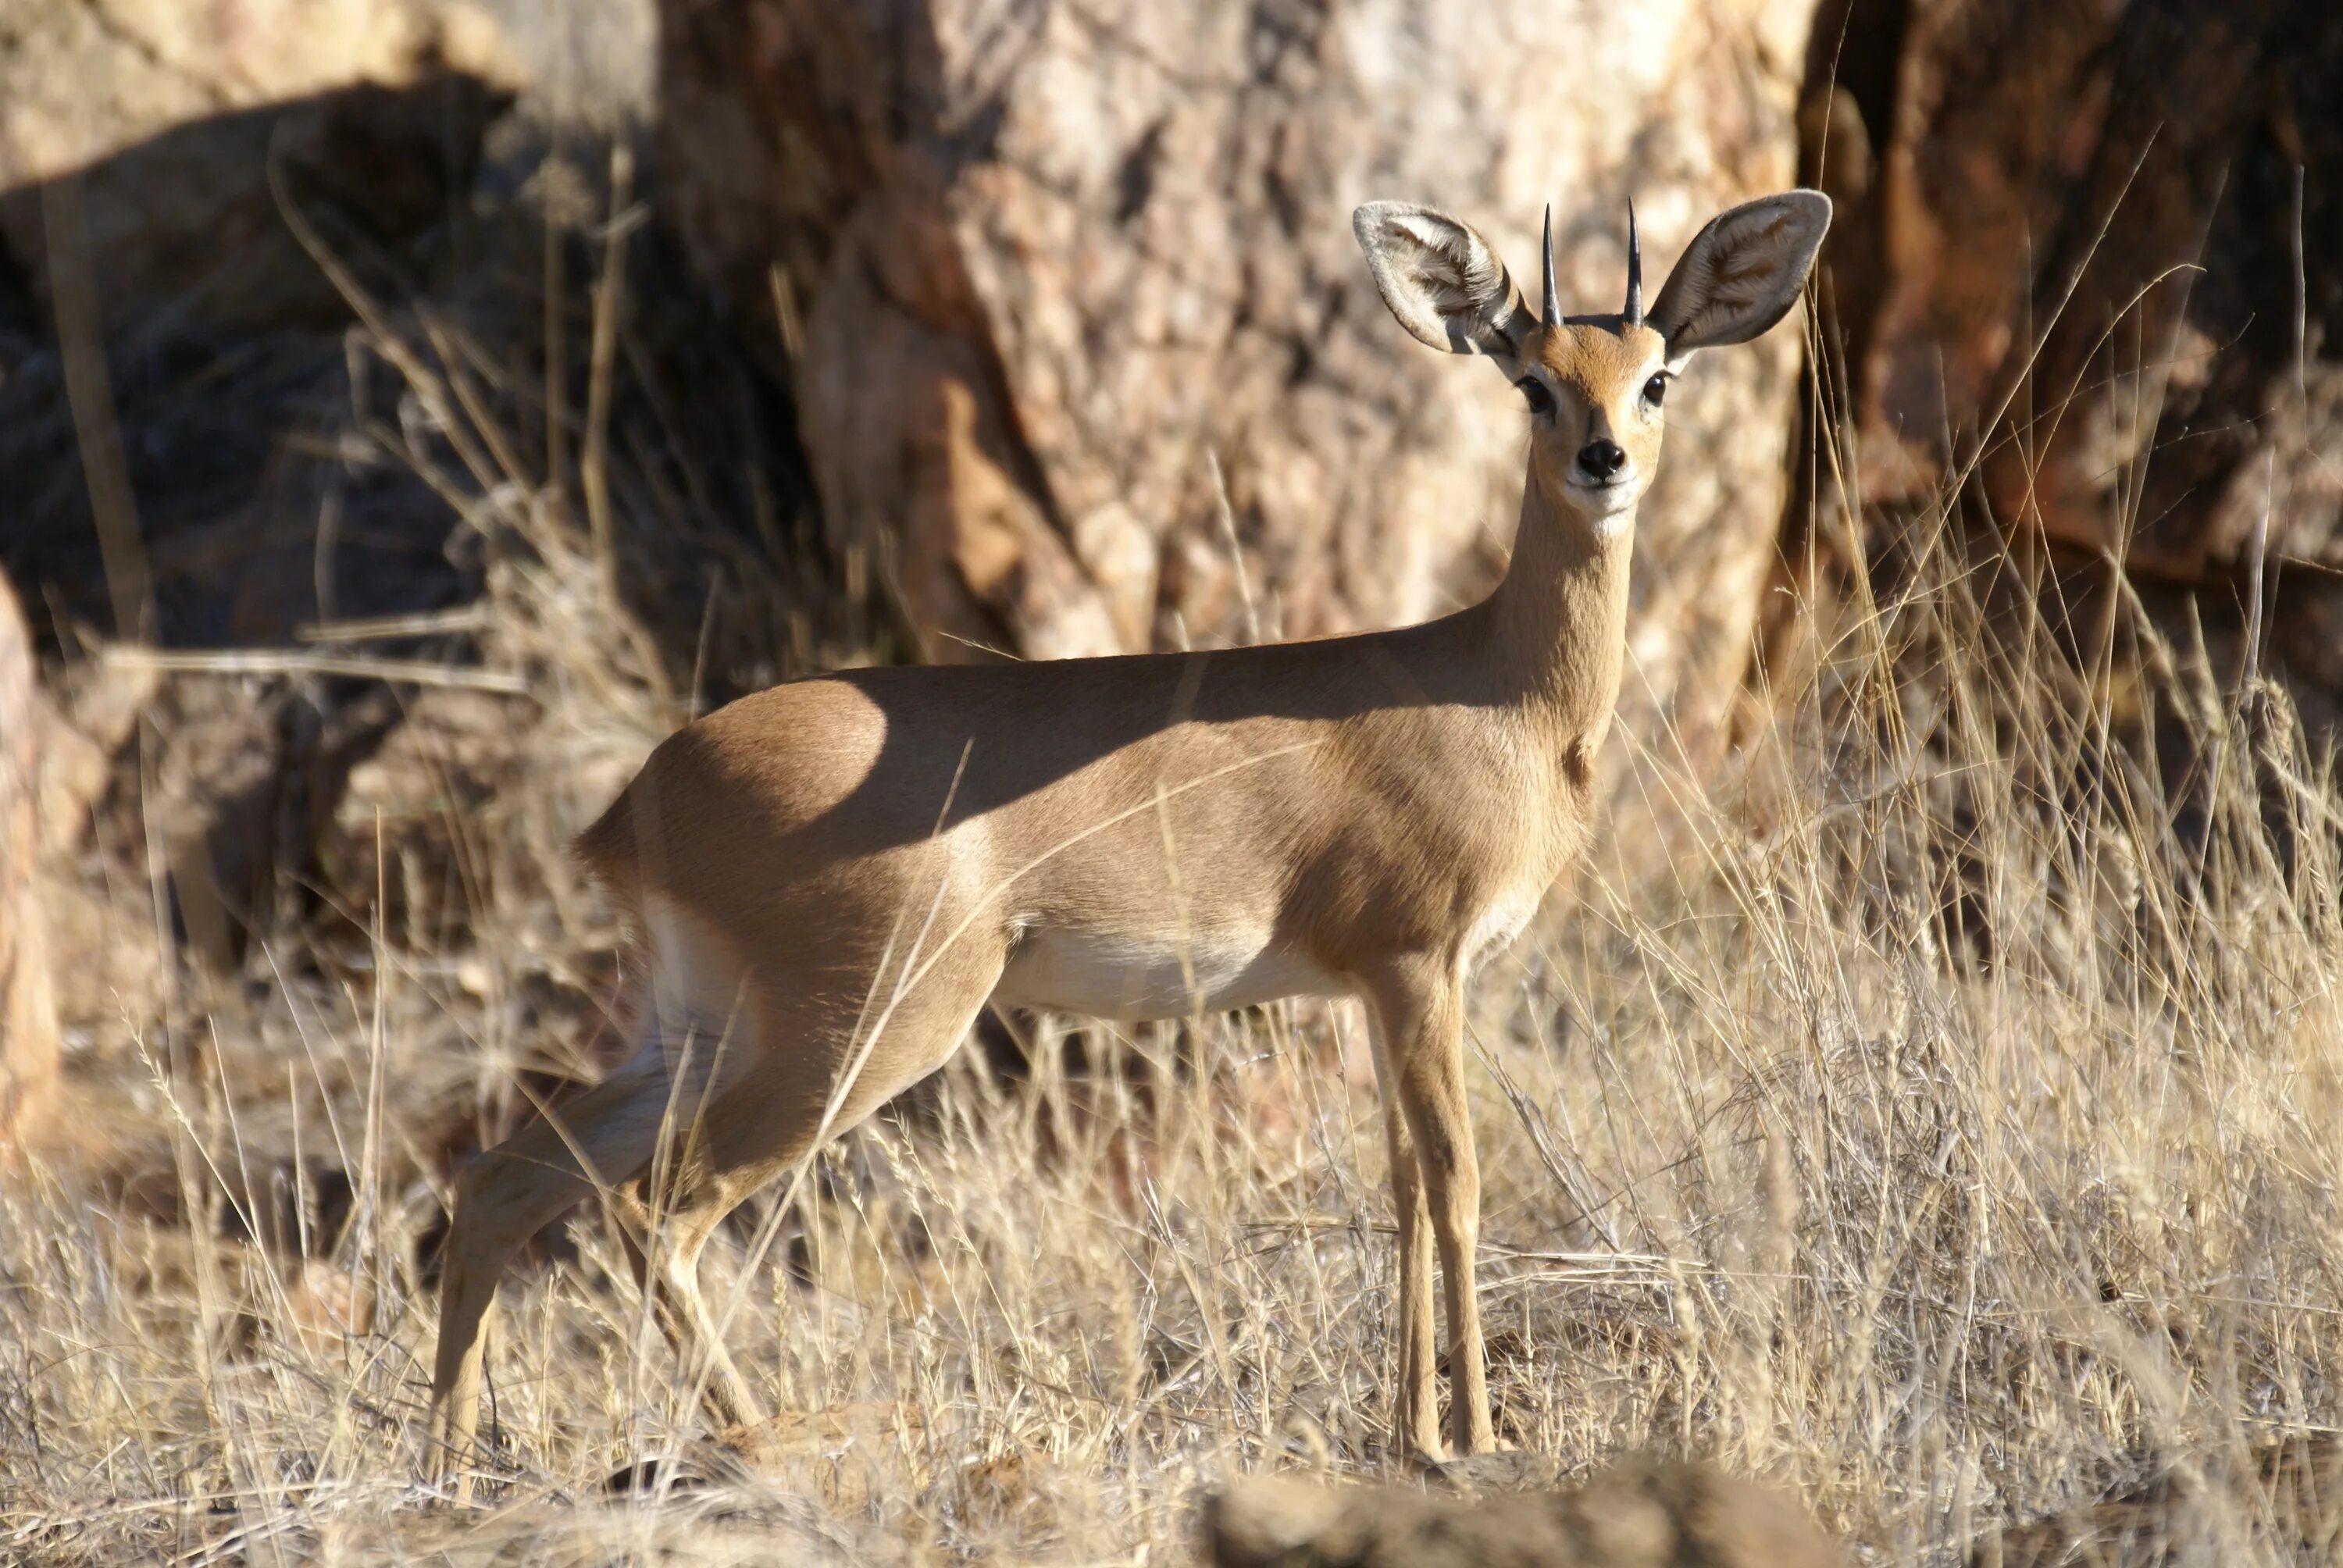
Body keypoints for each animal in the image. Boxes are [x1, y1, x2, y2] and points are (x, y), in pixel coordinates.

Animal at [431, 186, 1837, 1481]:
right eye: (1535, 384)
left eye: (1656, 375)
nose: (1604, 460)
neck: (1498, 691)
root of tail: (636, 800)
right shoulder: (1416, 965)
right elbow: (1457, 1182)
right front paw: (1476, 1440)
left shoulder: (1375, 989)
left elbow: (1397, 1186)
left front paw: (1411, 1431)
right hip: (861, 1030)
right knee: (654, 1206)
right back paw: (760, 1435)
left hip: (702, 1022)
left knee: (506, 1179)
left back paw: (450, 1459)